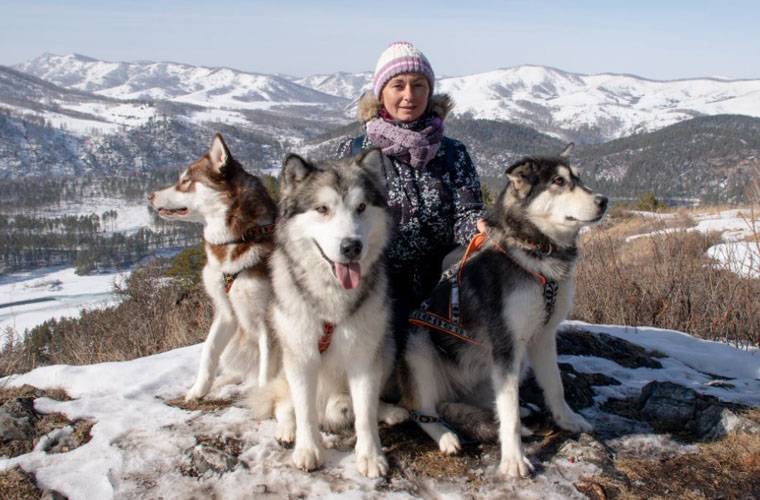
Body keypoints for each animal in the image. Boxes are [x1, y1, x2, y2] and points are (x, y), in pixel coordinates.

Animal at [148, 135, 276, 400]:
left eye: (185, 181)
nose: (150, 195)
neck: (242, 238)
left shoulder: (268, 323)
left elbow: (266, 371)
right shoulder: (226, 312)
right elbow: (208, 351)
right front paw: (197, 391)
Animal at [400, 145, 608, 476]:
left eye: (579, 178)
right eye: (558, 182)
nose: (603, 201)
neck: (535, 253)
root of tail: (452, 393)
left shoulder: (543, 336)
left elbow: (555, 386)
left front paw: (566, 419)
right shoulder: (506, 342)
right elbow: (508, 415)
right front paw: (514, 459)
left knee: (492, 399)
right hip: (417, 342)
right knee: (422, 410)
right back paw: (445, 435)